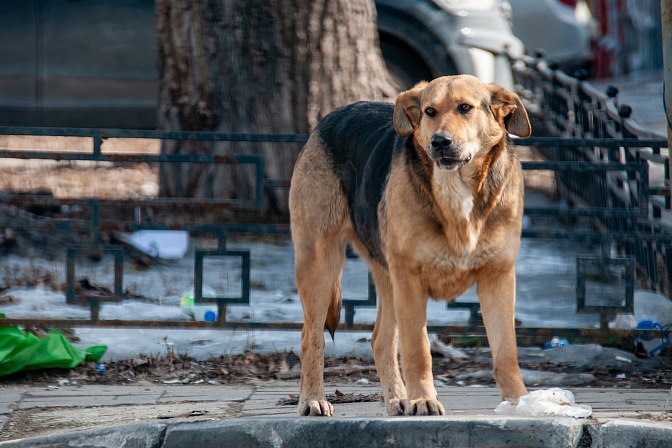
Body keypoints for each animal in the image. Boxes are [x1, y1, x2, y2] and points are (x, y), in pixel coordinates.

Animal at [288, 75, 532, 414]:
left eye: (465, 108)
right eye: (430, 111)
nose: (440, 142)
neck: (455, 190)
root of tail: (328, 118)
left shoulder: (498, 277)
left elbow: (506, 352)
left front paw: (520, 403)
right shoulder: (410, 279)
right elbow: (418, 350)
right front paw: (423, 400)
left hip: (386, 277)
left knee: (380, 339)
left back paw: (397, 400)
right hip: (320, 264)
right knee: (311, 337)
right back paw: (313, 399)